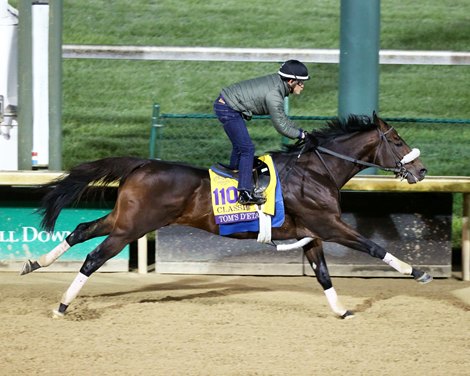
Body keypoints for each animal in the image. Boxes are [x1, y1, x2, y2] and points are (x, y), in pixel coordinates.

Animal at [22, 113, 434, 318]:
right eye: (397, 140)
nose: (422, 170)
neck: (317, 170)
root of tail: (142, 164)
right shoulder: (328, 225)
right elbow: (373, 247)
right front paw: (418, 272)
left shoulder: (311, 233)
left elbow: (322, 275)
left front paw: (342, 311)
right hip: (132, 227)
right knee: (93, 257)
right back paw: (62, 305)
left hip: (124, 220)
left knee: (80, 230)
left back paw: (35, 263)